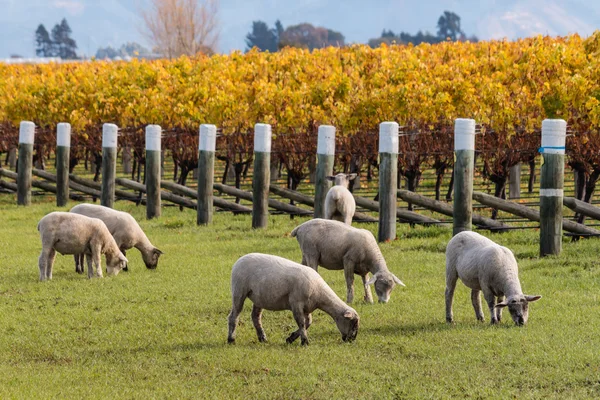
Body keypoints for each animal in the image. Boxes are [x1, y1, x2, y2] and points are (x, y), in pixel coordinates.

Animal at [227, 255, 358, 346]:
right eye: (353, 322)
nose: (352, 340)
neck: (320, 295)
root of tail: (239, 260)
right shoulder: (296, 303)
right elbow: (301, 322)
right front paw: (304, 342)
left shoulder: (307, 307)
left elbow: (308, 322)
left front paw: (291, 338)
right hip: (239, 291)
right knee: (234, 316)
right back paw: (231, 339)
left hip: (259, 297)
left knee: (255, 317)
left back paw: (262, 338)